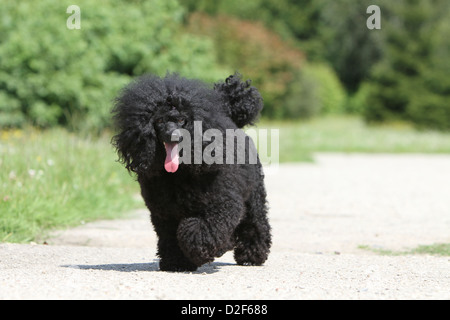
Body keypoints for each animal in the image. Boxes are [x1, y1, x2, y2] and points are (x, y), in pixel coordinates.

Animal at [113, 74, 270, 272]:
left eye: (182, 120)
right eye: (160, 121)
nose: (173, 135)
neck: (178, 174)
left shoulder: (223, 205)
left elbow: (198, 231)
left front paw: (204, 252)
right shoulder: (164, 213)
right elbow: (170, 238)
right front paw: (176, 262)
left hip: (253, 197)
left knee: (255, 224)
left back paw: (251, 257)